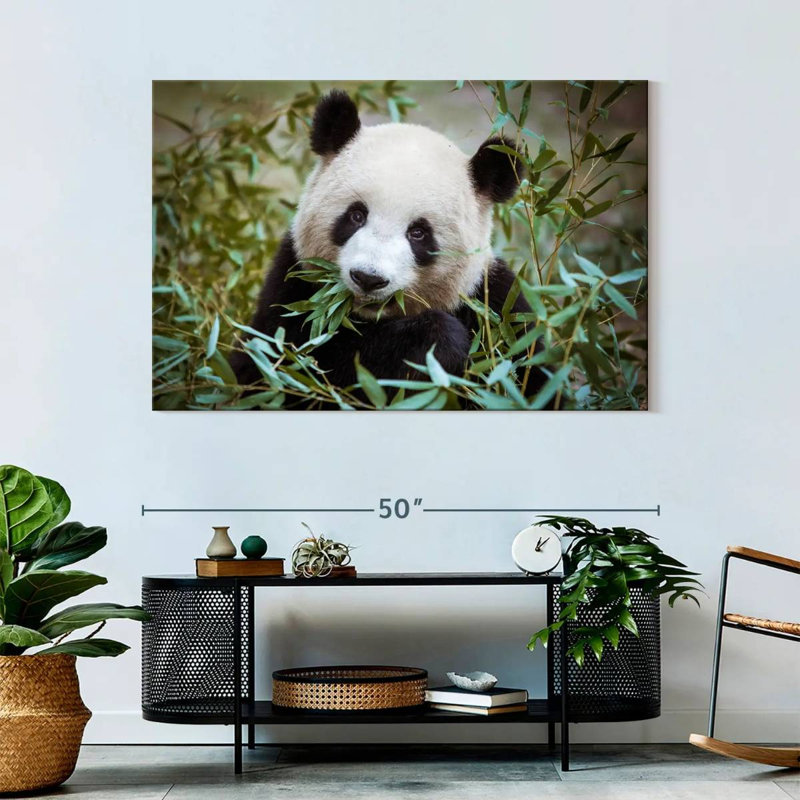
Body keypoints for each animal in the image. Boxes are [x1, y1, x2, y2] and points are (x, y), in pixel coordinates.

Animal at [232, 90, 548, 401]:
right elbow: (297, 369)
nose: (368, 278)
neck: (370, 318)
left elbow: (531, 375)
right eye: (356, 215)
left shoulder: (497, 306)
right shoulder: (294, 289)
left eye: (418, 233)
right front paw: (438, 343)